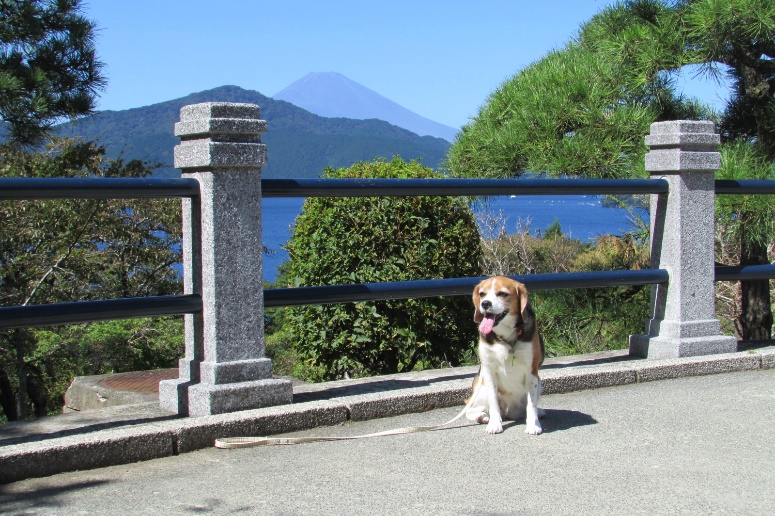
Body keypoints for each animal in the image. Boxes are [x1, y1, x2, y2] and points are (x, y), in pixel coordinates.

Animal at [466, 276, 544, 434]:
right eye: (482, 294)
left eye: (502, 294)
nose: (485, 303)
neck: (505, 337)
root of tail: (508, 411)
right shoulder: (489, 370)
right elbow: (493, 402)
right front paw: (495, 424)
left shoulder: (532, 371)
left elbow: (531, 404)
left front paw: (533, 424)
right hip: (480, 389)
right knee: (470, 410)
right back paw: (482, 417)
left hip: (539, 383)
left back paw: (539, 412)